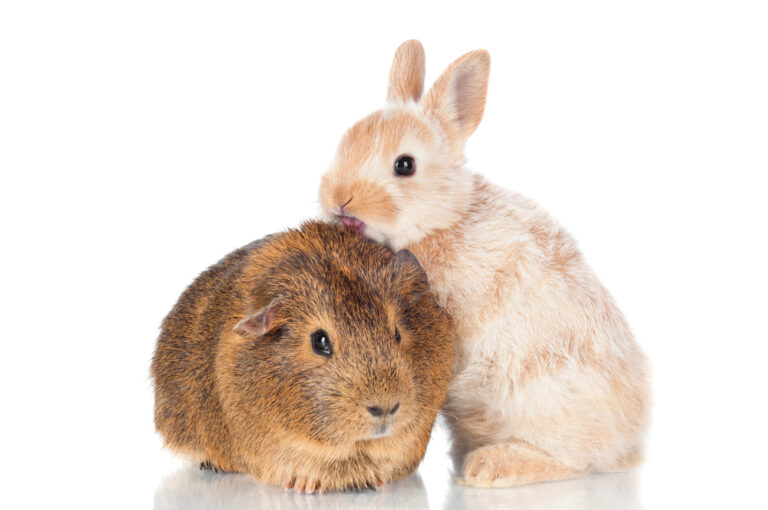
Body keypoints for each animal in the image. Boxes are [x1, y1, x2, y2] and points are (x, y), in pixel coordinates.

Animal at [318, 40, 651, 488]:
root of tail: (629, 441)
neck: (441, 221)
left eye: (404, 165)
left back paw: (491, 467)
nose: (340, 197)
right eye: (346, 140)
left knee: (575, 460)